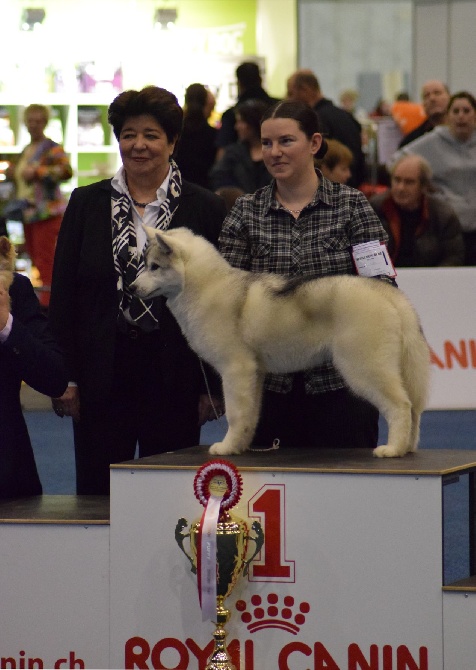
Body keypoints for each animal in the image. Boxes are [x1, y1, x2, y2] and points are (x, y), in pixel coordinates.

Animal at [131, 228, 432, 460]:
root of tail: (387, 294)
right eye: (145, 265)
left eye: (155, 267)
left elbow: (235, 414)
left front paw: (226, 447)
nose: (131, 288)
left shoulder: (235, 369)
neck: (204, 285)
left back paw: (392, 449)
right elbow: (249, 415)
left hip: (363, 367)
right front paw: (239, 446)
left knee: (401, 405)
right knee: (414, 409)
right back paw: (408, 447)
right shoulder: (253, 373)